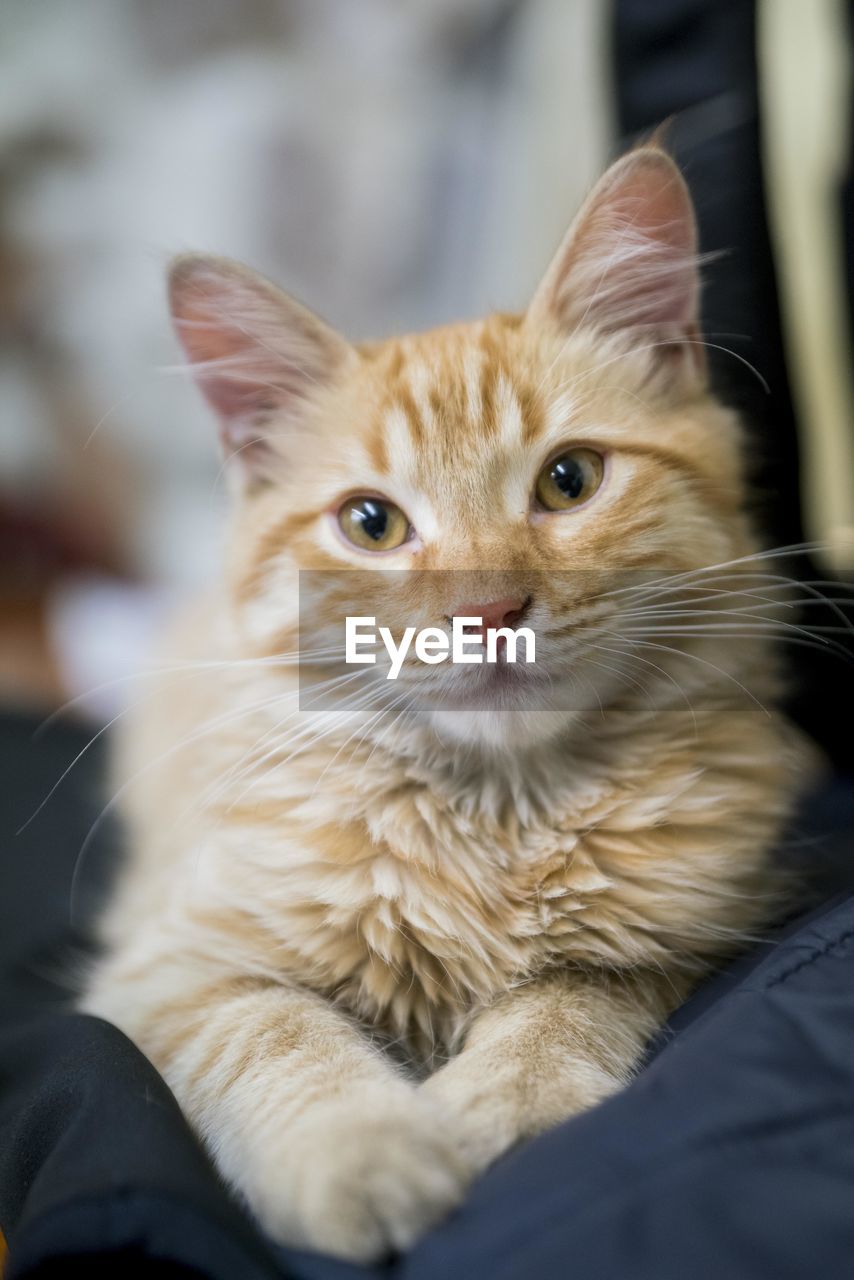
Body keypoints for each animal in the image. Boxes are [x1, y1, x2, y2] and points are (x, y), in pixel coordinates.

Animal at [81, 145, 814, 1264]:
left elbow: (565, 999)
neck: (493, 819)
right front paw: (366, 1153)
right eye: (371, 523)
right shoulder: (167, 968)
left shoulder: (691, 923)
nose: (487, 611)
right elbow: (279, 1036)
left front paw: (496, 1105)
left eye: (569, 480)